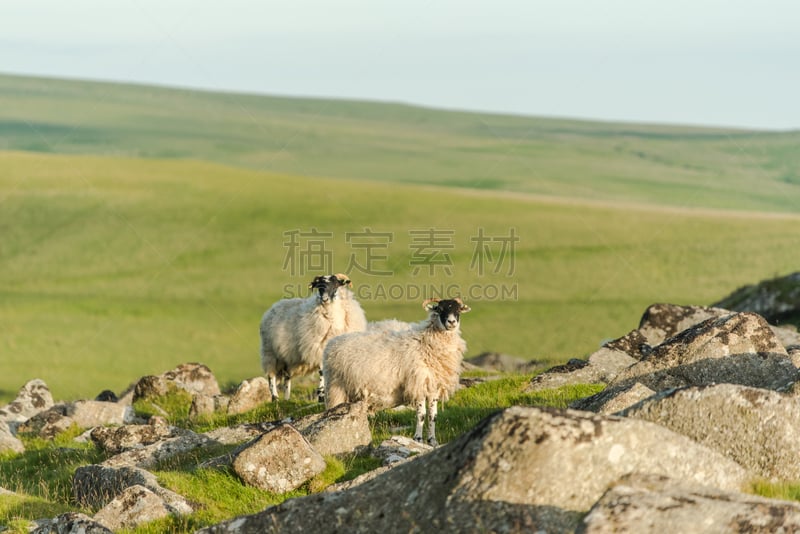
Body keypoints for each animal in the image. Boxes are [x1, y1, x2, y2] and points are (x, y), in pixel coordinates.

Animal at [322, 298, 468, 448]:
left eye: (458, 310)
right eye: (439, 309)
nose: (451, 322)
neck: (425, 342)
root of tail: (331, 344)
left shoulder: (433, 387)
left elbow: (433, 416)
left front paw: (433, 441)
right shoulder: (418, 384)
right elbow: (421, 414)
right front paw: (418, 439)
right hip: (335, 388)